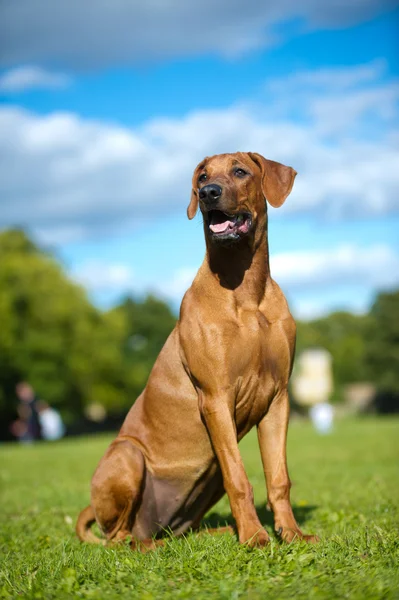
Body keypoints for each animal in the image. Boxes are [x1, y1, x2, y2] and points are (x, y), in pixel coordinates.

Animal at [76, 151, 318, 548]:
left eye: (240, 171)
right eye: (202, 176)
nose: (208, 193)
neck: (246, 290)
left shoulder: (278, 397)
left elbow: (279, 478)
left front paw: (291, 533)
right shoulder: (215, 396)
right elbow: (240, 478)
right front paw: (255, 537)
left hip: (204, 480)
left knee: (176, 531)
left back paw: (213, 533)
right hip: (128, 455)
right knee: (120, 539)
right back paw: (156, 546)